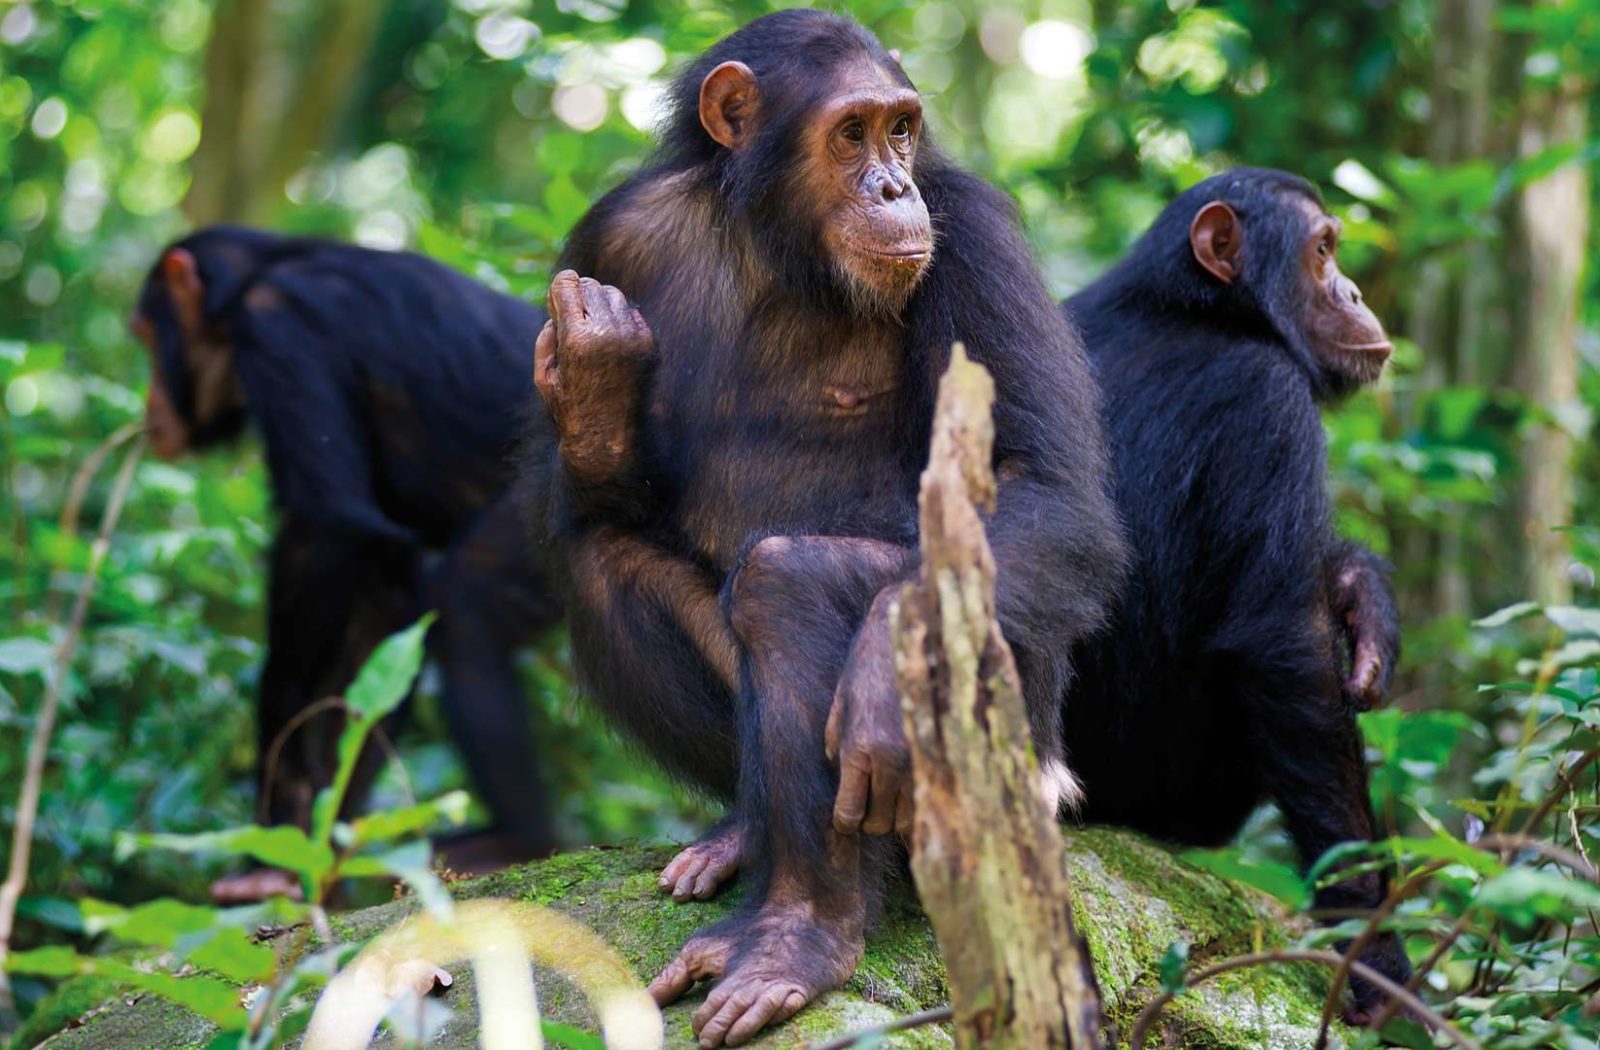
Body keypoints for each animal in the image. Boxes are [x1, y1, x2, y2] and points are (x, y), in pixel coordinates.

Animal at [134, 225, 566, 896]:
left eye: (148, 336)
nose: (148, 401)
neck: (249, 284)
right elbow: (380, 615)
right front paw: (315, 850)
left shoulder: (280, 332)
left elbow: (327, 530)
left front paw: (278, 802)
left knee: (464, 608)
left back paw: (516, 840)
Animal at [524, 8, 1126, 1043]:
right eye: (851, 134)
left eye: (902, 130)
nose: (892, 185)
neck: (775, 240)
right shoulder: (610, 237)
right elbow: (601, 508)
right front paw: (596, 378)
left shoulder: (972, 233)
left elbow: (1040, 480)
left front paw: (882, 671)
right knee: (605, 564)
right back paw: (744, 847)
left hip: (1022, 756)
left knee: (788, 581)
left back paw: (799, 937)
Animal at [1062, 170, 1414, 1017]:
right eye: (1322, 252)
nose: (1354, 291)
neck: (1193, 308)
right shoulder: (1269, 404)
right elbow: (1285, 650)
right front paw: (1376, 953)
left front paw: (1363, 596)